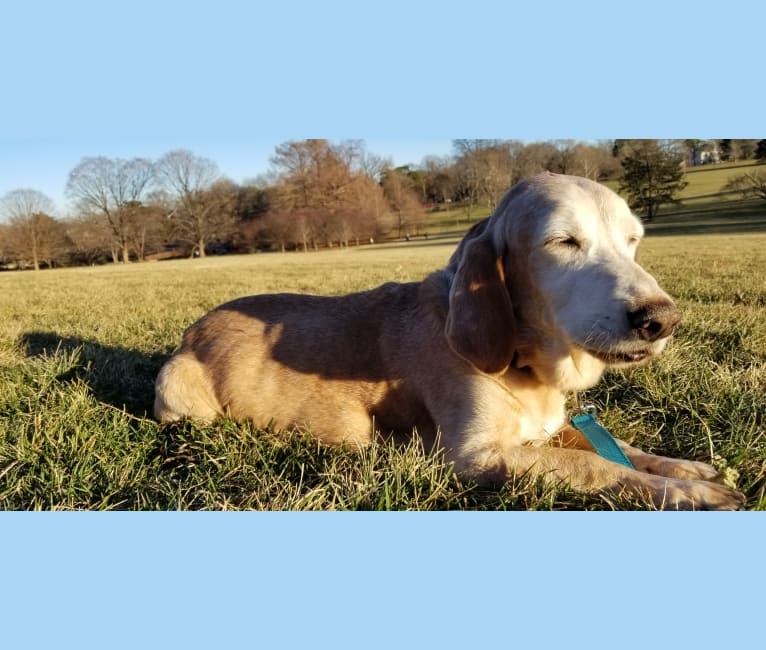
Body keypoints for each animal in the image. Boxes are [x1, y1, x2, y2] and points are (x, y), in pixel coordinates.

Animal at [158, 175, 752, 508]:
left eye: (633, 241)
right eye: (564, 241)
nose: (663, 319)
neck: (523, 364)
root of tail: (193, 330)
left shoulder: (550, 430)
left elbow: (623, 450)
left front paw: (685, 470)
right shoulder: (475, 456)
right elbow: (595, 466)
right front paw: (689, 494)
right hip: (179, 393)